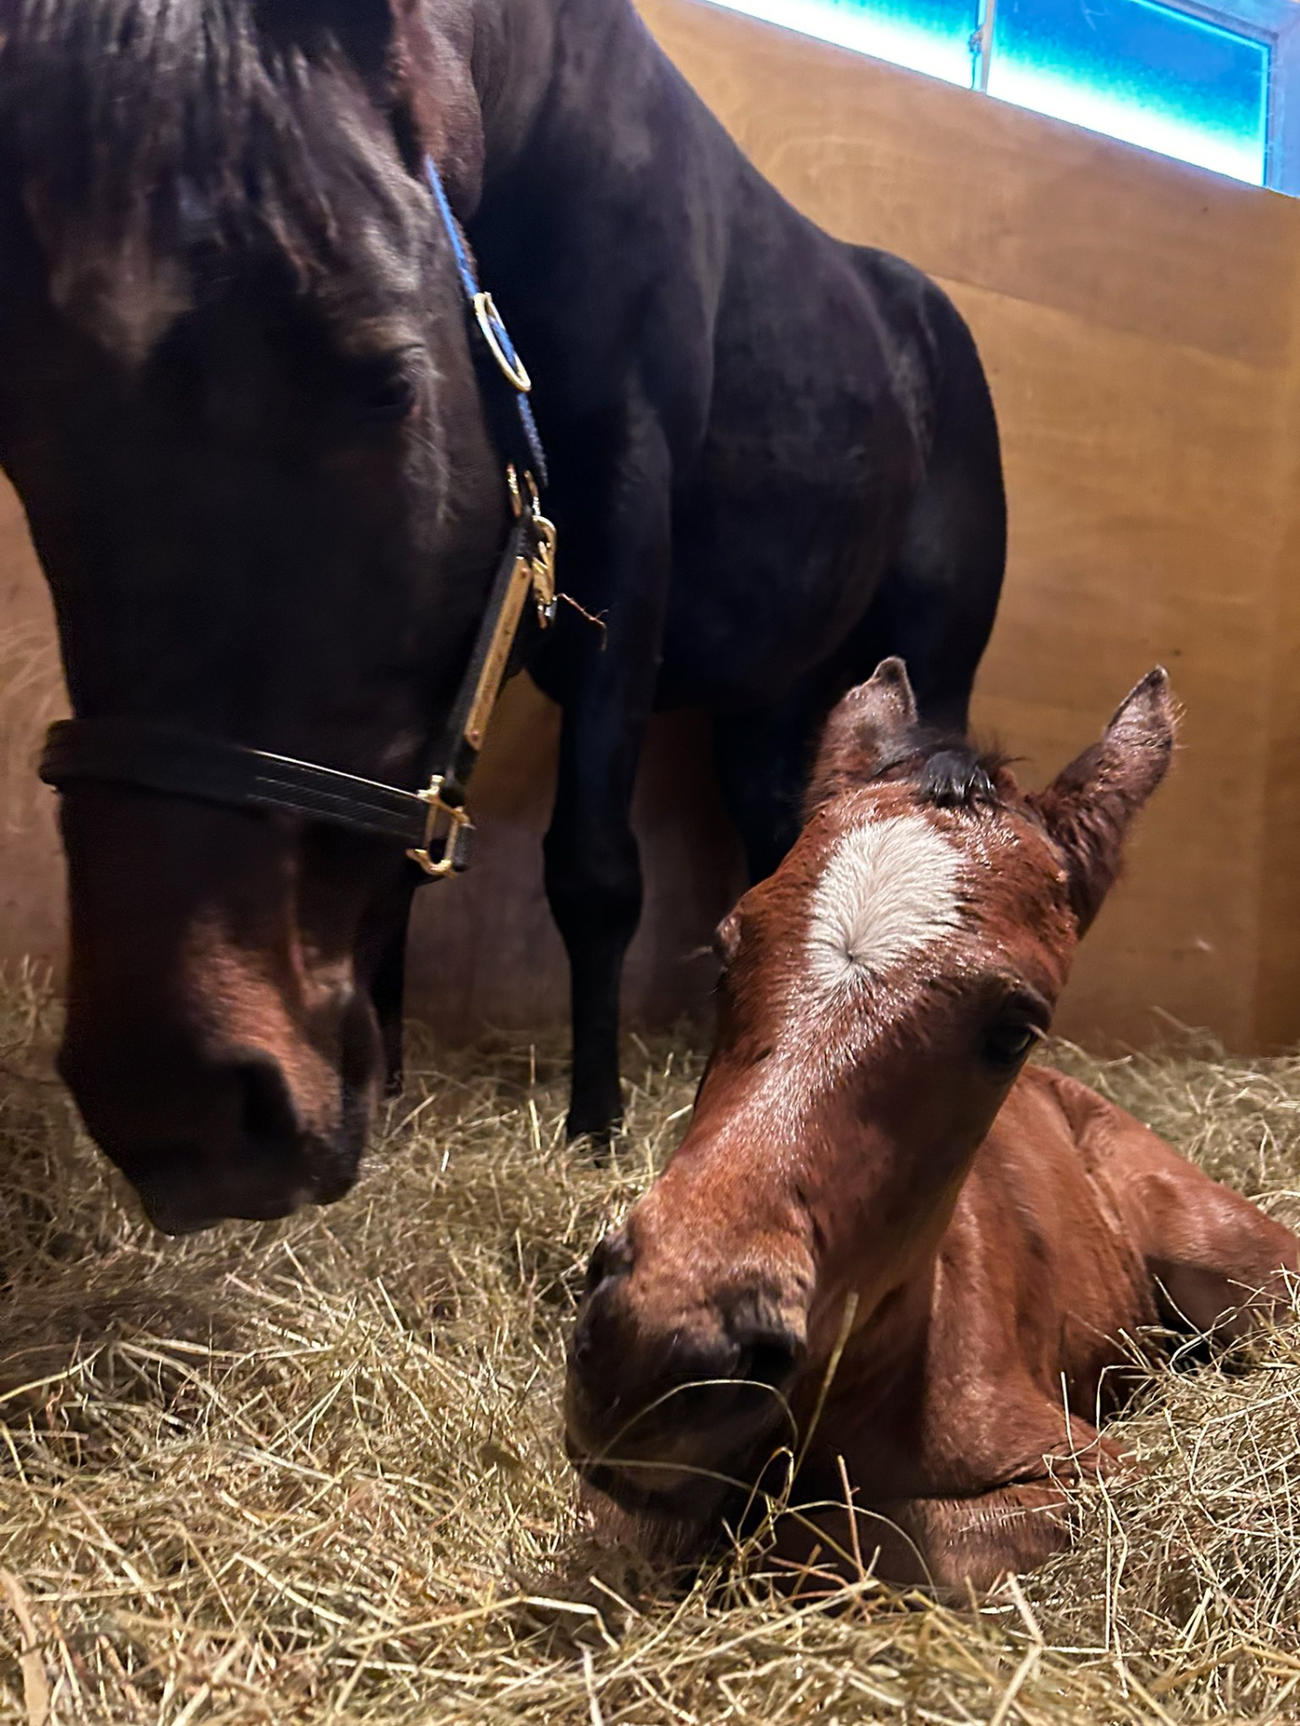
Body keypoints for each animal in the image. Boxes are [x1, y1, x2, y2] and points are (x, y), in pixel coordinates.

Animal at [0, 0, 1004, 1233]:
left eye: (387, 382)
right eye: (15, 430)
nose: (174, 1107)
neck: (550, 141)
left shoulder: (621, 547)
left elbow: (592, 871)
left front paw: (595, 1126)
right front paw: (390, 1079)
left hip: (933, 661)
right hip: (771, 697)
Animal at [564, 660, 1299, 1591]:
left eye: (1013, 1029)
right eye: (725, 952)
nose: (660, 1342)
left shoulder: (1081, 1471)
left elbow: (843, 1538)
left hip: (1243, 1262)